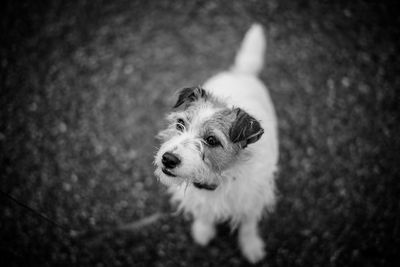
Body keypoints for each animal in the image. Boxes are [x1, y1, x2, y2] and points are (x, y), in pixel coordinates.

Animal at [153, 24, 278, 264]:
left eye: (211, 140)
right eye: (180, 124)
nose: (168, 159)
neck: (218, 179)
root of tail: (241, 72)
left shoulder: (252, 201)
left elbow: (248, 226)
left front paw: (251, 246)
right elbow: (204, 213)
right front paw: (203, 231)